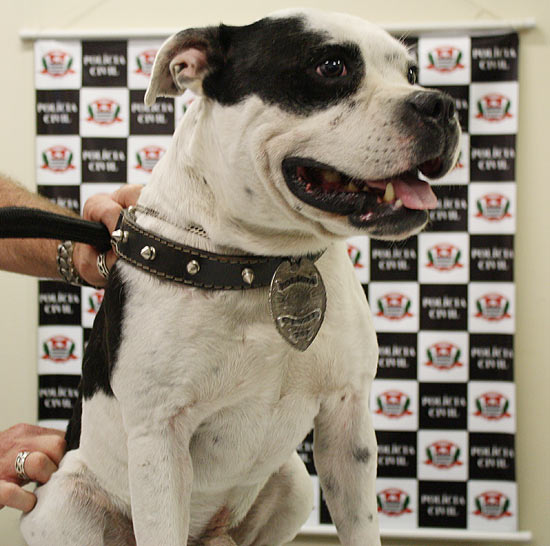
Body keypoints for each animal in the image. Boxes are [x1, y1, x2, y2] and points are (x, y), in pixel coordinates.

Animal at [20, 9, 462, 544]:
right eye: (331, 66)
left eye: (411, 73)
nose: (440, 103)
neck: (264, 261)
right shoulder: (158, 441)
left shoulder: (347, 422)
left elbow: (362, 527)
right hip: (65, 500)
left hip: (294, 483)